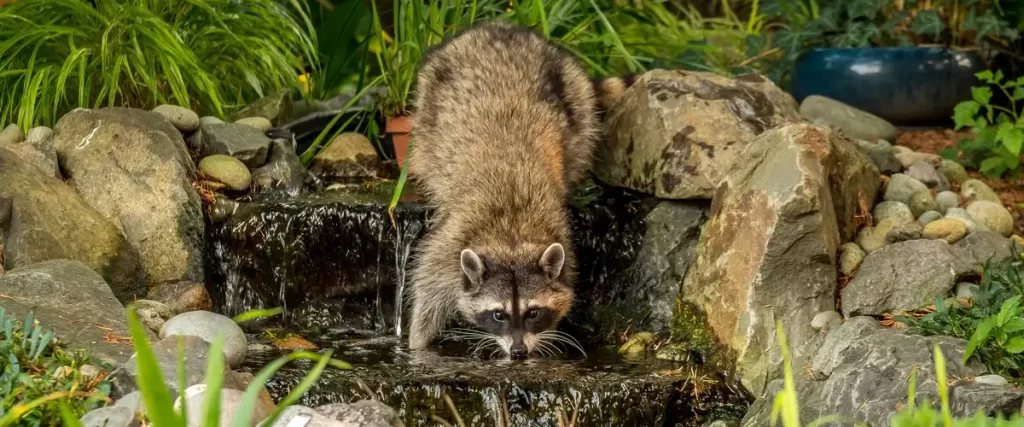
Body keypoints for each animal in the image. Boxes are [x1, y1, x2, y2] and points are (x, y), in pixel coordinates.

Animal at [406, 22, 632, 359]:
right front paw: (416, 344)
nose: (518, 352)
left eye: (533, 312)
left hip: (574, 94)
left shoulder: (562, 238)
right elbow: (428, 292)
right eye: (498, 314)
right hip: (428, 101)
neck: (511, 236)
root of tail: (500, 27)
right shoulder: (448, 246)